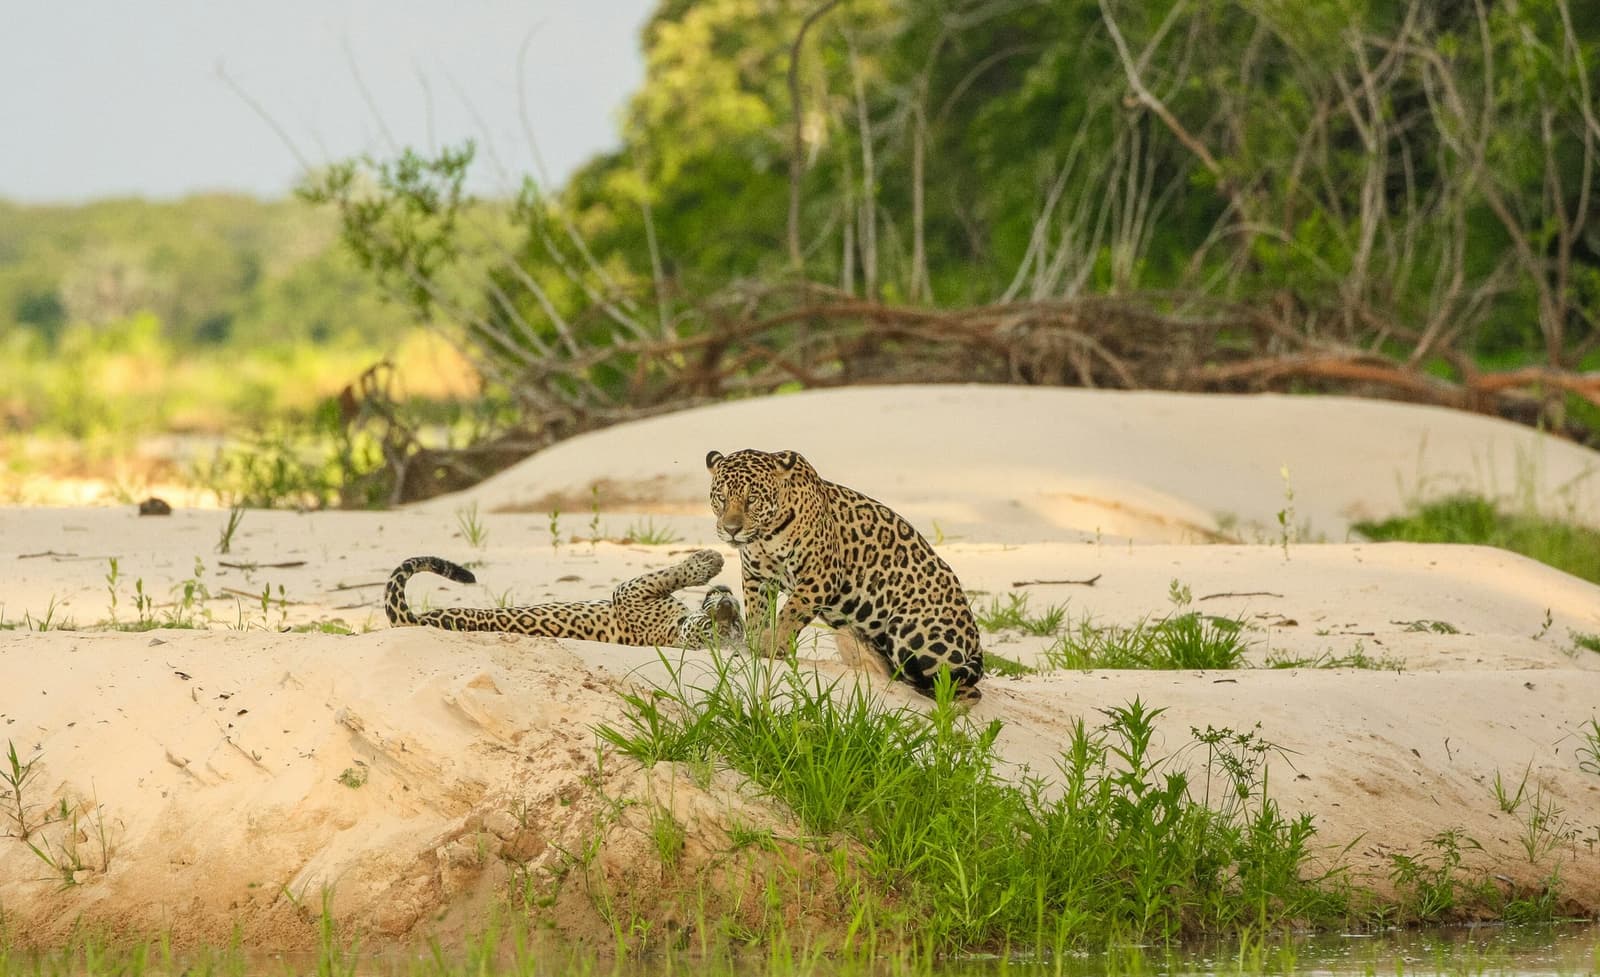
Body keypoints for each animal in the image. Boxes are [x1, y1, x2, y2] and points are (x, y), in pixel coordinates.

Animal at [384, 548, 743, 648]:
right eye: (717, 623)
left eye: (731, 628)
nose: (727, 604)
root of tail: (410, 620)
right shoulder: (633, 592)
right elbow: (672, 574)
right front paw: (712, 563)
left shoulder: (630, 592)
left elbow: (670, 574)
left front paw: (709, 562)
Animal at [705, 448, 984, 700]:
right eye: (721, 497)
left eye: (752, 499)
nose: (731, 529)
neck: (765, 536)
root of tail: (976, 642)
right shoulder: (756, 578)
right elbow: (757, 615)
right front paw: (754, 646)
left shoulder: (820, 575)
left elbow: (790, 613)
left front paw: (773, 646)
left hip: (910, 633)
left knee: (963, 688)